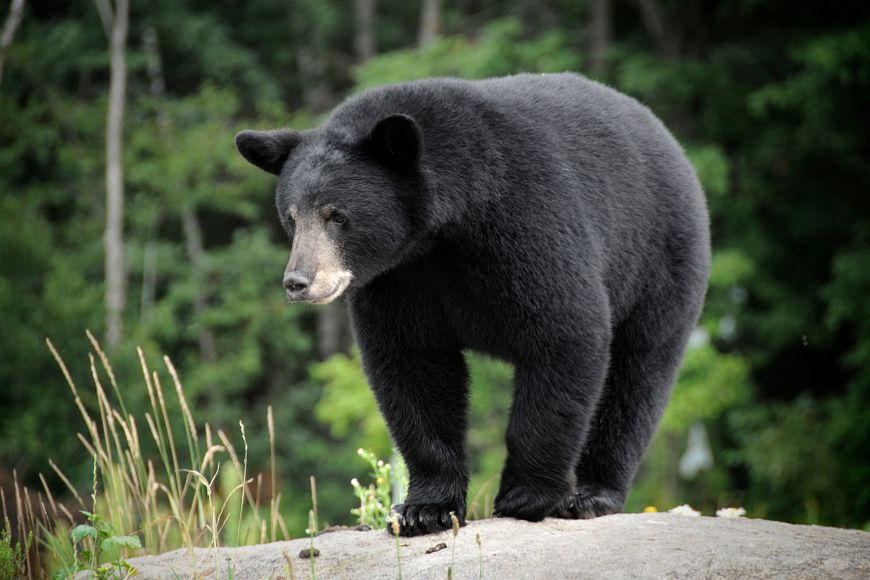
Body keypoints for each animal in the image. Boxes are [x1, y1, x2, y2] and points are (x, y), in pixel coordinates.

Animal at [235, 73, 711, 537]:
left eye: (337, 215)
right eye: (292, 217)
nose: (298, 282)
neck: (444, 230)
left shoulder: (528, 222)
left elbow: (565, 333)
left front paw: (526, 496)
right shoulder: (400, 280)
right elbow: (412, 366)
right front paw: (424, 509)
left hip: (660, 261)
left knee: (637, 377)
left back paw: (593, 495)